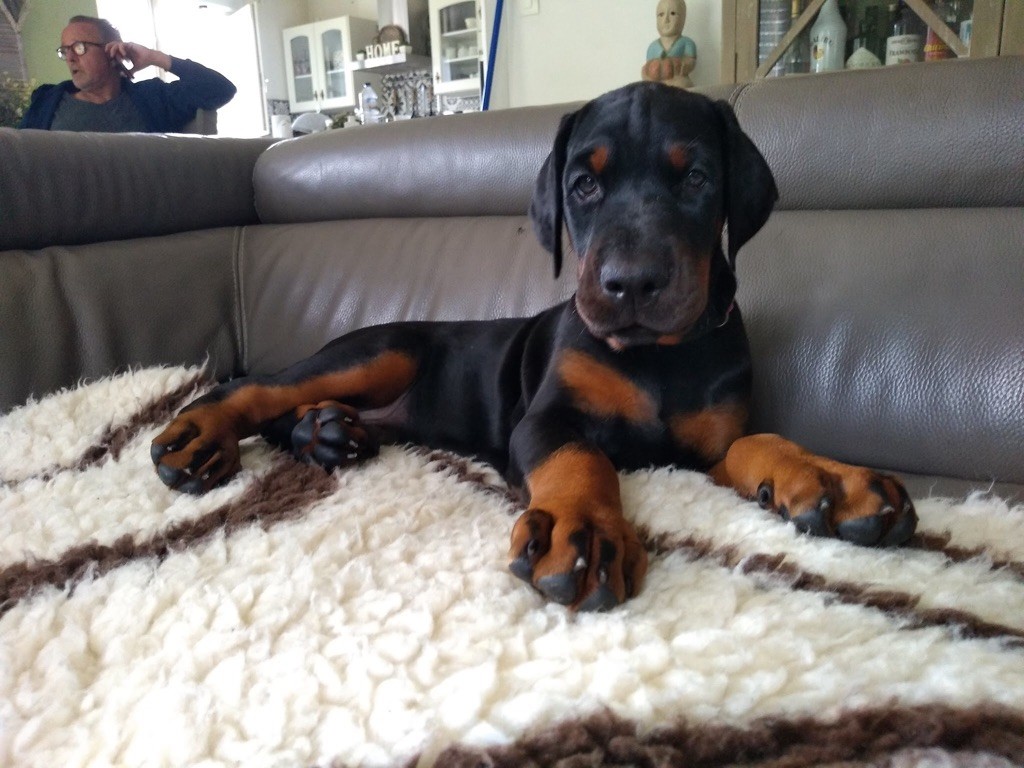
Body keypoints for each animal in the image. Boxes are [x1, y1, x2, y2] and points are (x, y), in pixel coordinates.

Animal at [152, 82, 917, 612]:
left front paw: (828, 478)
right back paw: (201, 437)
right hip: (382, 350)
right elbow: (579, 458)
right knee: (254, 390)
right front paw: (585, 531)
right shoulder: (546, 418)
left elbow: (760, 441)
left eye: (697, 178)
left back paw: (325, 435)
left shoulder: (709, 443)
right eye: (584, 185)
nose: (630, 283)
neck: (657, 354)